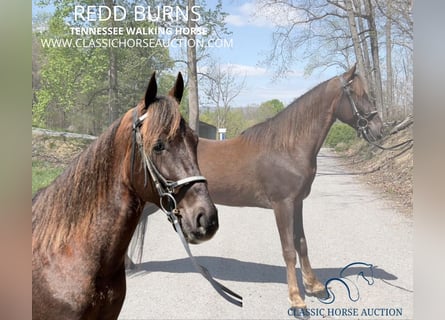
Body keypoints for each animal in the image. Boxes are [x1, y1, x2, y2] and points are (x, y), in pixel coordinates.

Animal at [127, 63, 382, 312]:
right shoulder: (282, 205)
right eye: (359, 94)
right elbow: (288, 250)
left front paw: (315, 286)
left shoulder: (297, 203)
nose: (379, 129)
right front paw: (296, 300)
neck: (286, 148)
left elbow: (301, 244)